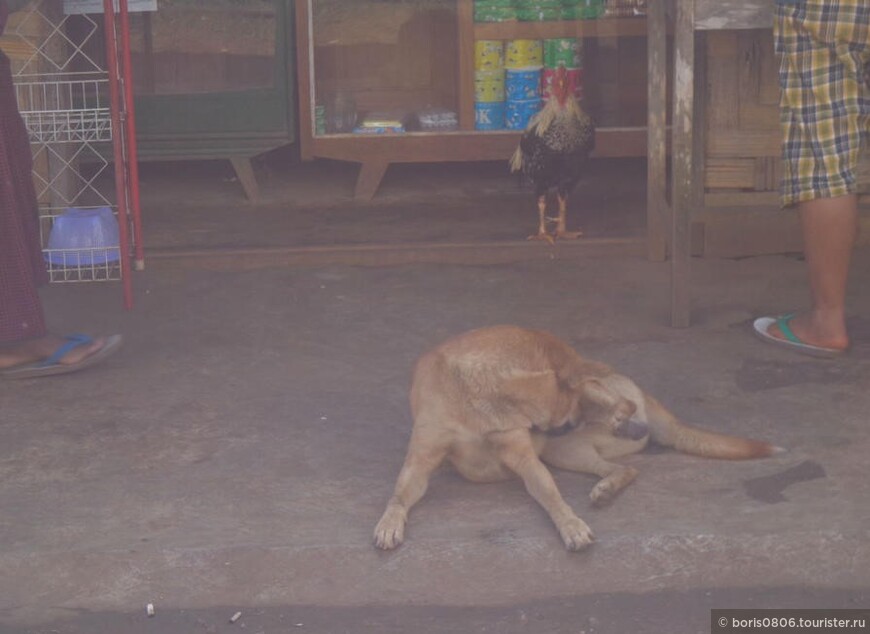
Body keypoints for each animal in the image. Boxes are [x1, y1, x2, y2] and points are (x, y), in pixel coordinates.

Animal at [374, 326, 784, 548]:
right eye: (565, 420)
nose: (640, 431)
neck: (478, 393)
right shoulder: (422, 458)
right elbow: (400, 493)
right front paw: (389, 521)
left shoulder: (523, 453)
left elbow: (550, 493)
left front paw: (570, 525)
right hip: (571, 446)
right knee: (622, 467)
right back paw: (611, 477)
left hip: (580, 415)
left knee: (623, 441)